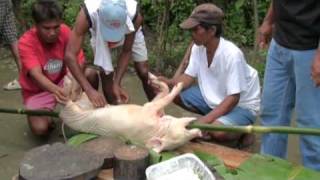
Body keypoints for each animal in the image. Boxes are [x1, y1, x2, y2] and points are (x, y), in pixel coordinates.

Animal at [58, 73, 201, 152]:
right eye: (186, 132)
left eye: (185, 137)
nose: (199, 132)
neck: (160, 129)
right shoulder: (151, 107)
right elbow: (165, 92)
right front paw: (154, 78)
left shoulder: (149, 108)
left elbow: (166, 96)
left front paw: (178, 85)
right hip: (85, 102)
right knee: (75, 95)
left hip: (72, 112)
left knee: (67, 100)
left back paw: (65, 84)